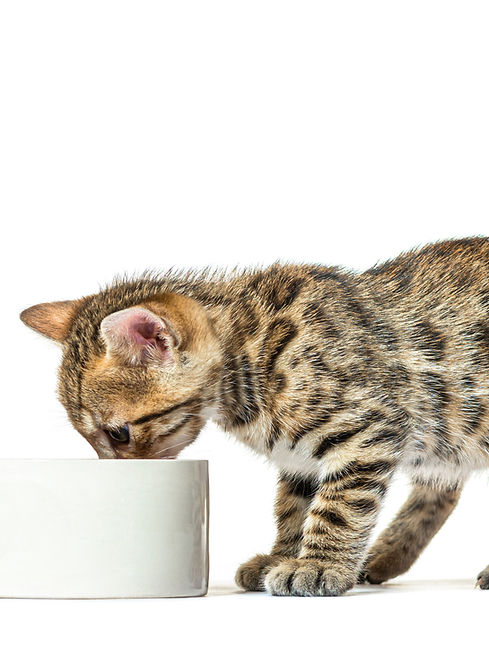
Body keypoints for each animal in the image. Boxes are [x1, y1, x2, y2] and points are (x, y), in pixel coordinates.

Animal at [20, 236, 489, 596]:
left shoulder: (368, 428)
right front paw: (284, 554)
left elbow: (338, 505)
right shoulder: (300, 458)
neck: (249, 355)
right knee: (442, 486)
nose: (112, 471)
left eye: (118, 434)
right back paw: (385, 555)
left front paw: (320, 565)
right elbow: (293, 507)